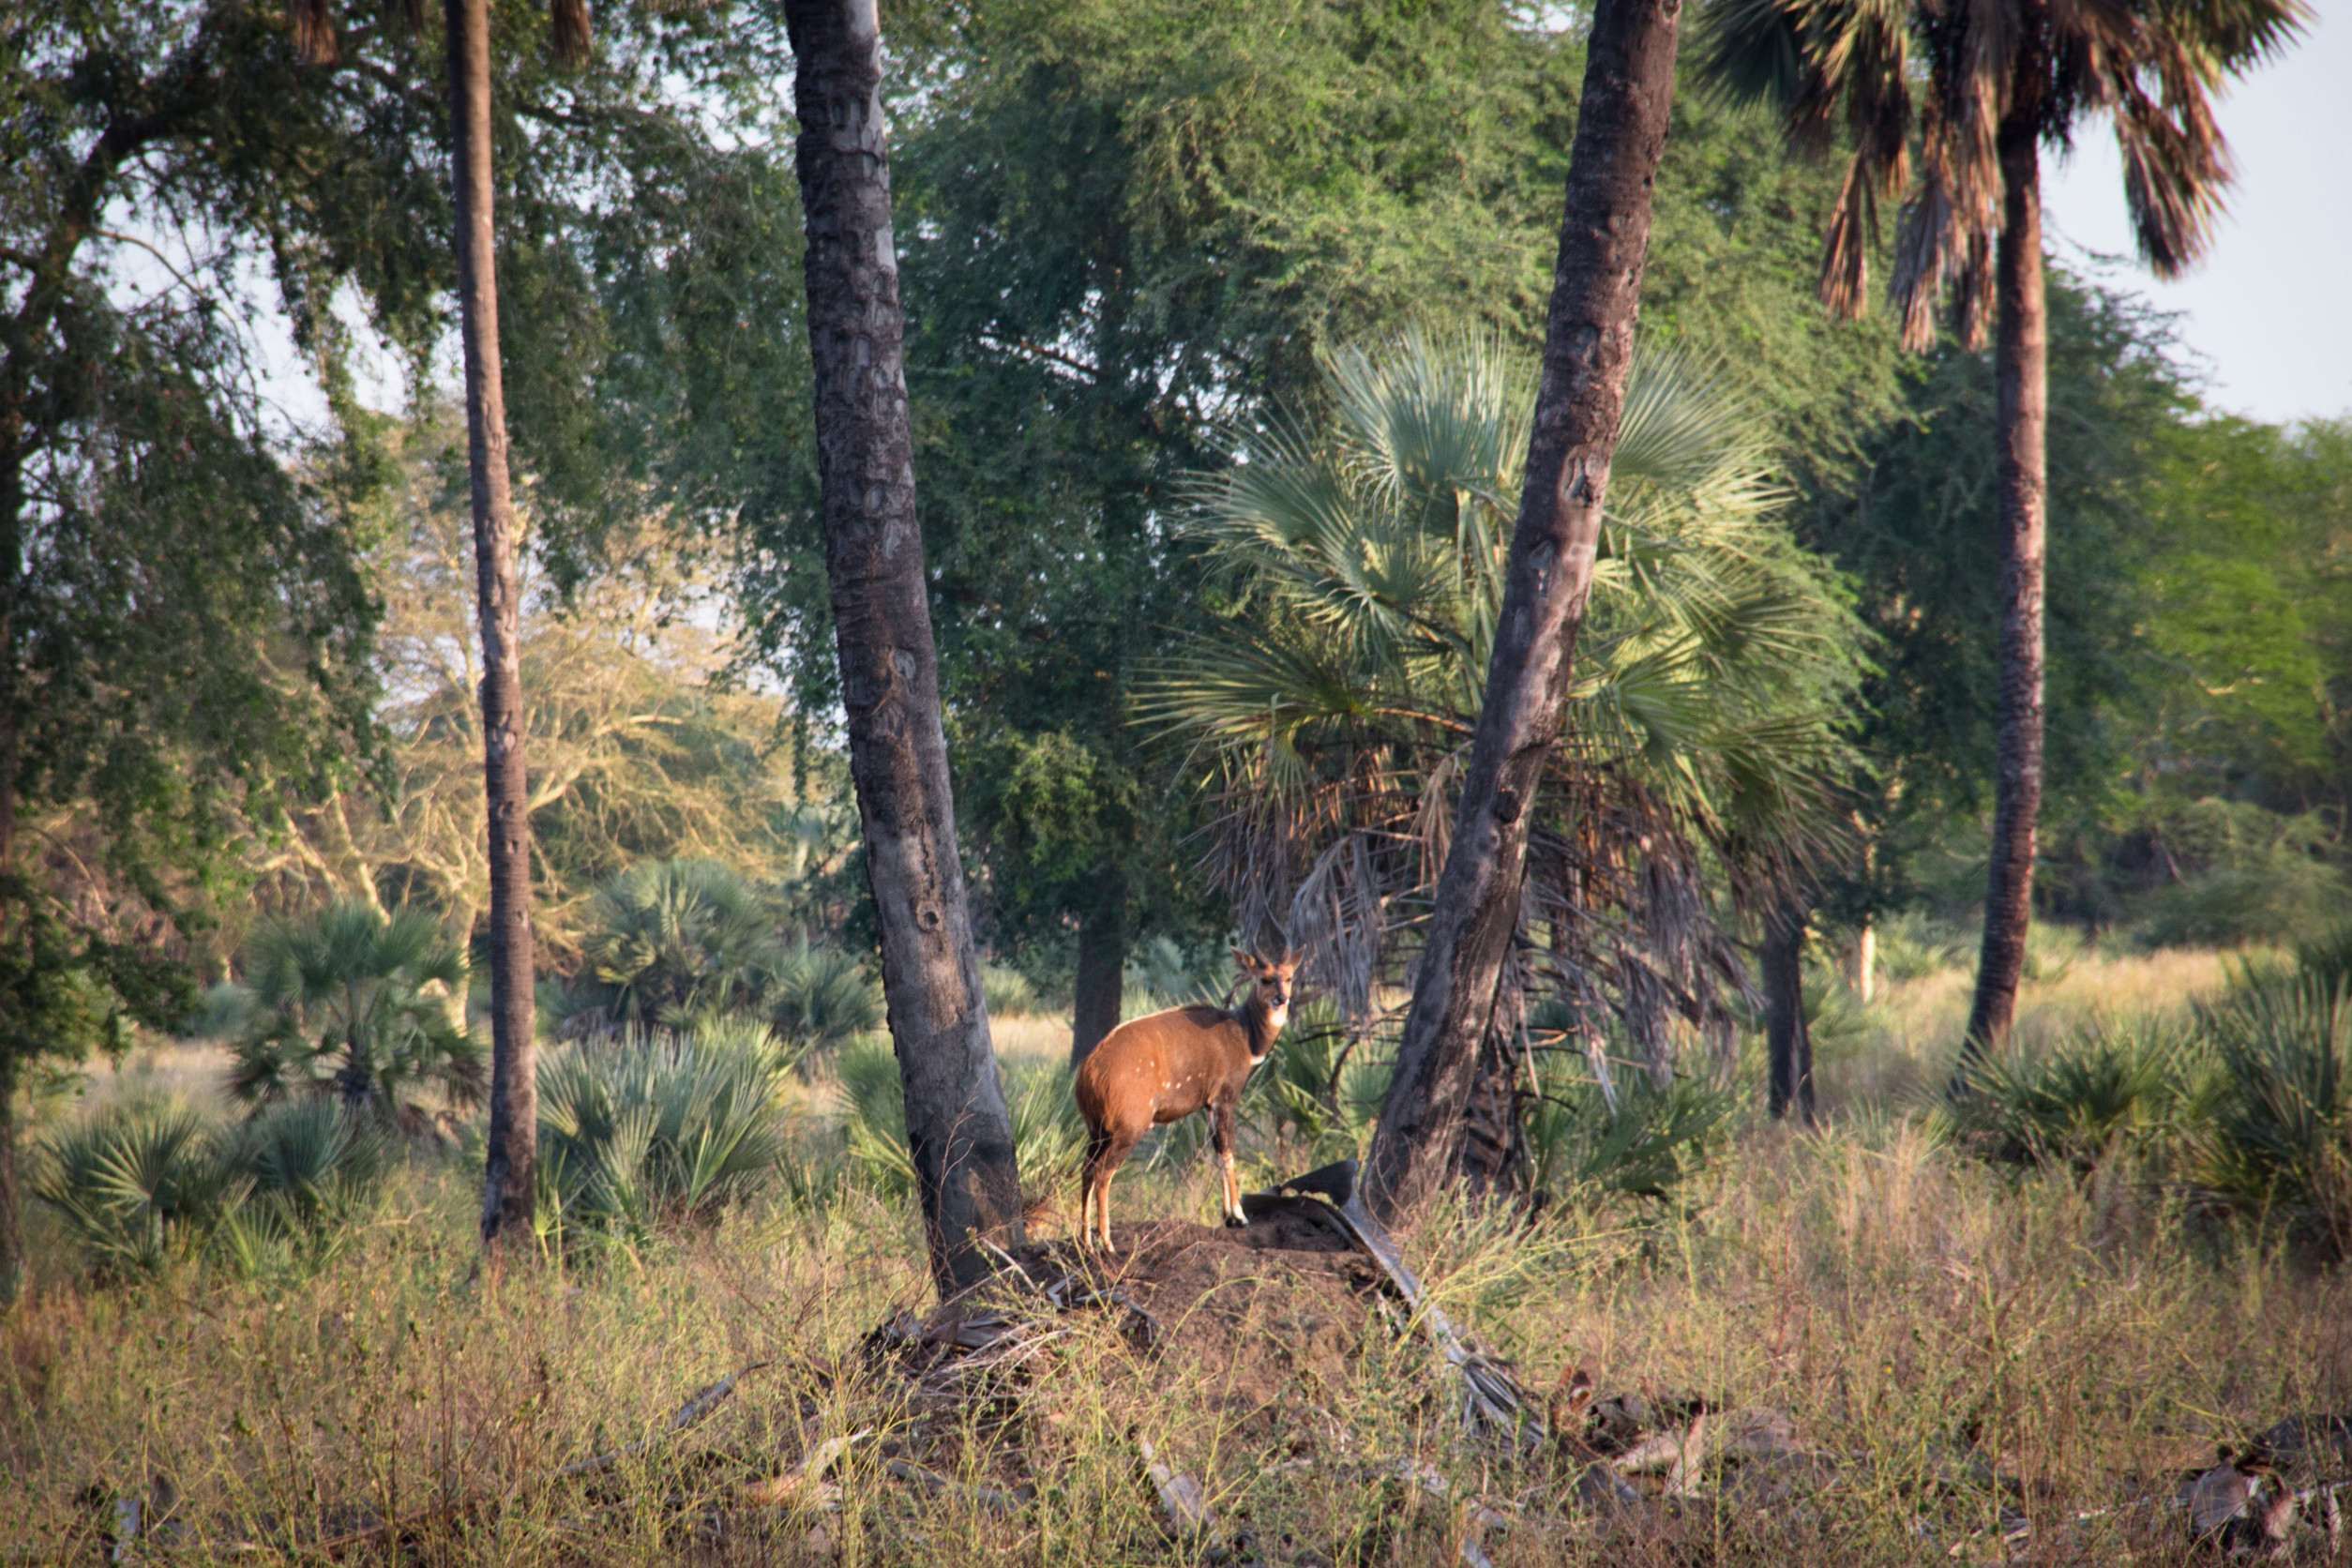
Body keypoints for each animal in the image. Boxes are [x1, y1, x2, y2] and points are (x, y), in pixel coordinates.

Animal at [1073, 949, 1298, 1253]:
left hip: (1097, 1129)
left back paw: (1086, 1241)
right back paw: (1107, 1243)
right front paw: (1238, 1216)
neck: (1245, 1037)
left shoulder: (1209, 1106)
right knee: (1103, 1172)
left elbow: (1217, 1150)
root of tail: (1089, 1073)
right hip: (1129, 1128)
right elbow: (1228, 1151)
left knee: (1086, 1169)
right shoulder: (1225, 1099)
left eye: (1288, 978)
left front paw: (1227, 1216)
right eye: (1264, 979)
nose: (1281, 999)